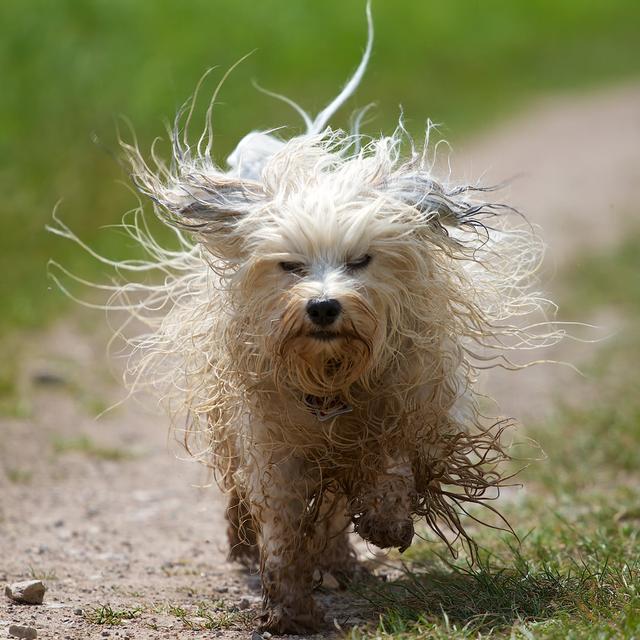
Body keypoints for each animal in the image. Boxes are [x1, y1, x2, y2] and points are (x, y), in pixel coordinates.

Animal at [51, 6, 560, 636]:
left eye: (360, 260)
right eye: (290, 266)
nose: (323, 306)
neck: (331, 377)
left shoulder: (400, 408)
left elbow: (391, 473)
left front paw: (384, 523)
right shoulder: (276, 442)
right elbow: (281, 524)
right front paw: (288, 606)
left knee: (340, 507)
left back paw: (342, 558)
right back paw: (253, 544)